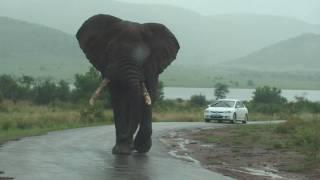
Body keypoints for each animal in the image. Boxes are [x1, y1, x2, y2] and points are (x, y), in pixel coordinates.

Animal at [75, 14, 180, 155]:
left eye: (144, 58)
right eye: (110, 52)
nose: (125, 137)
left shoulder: (152, 65)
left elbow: (149, 95)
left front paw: (140, 146)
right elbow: (118, 98)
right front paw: (122, 150)